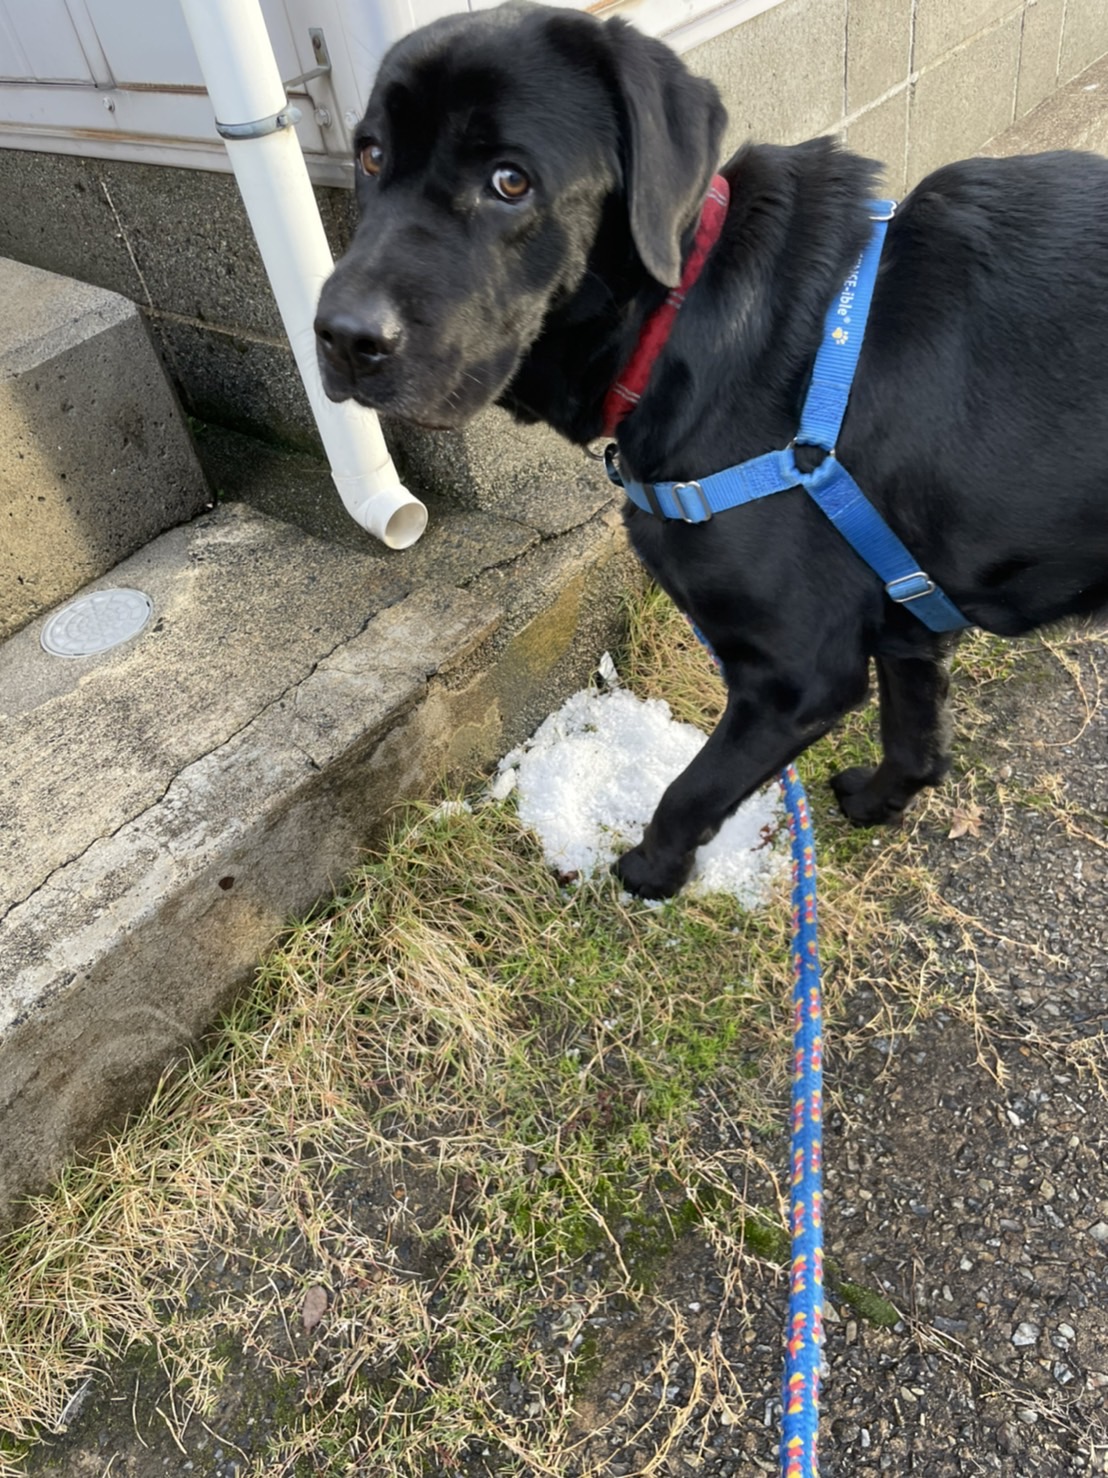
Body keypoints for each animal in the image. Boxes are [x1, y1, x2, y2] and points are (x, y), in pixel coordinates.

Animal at [316, 0, 1108, 898]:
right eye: (370, 154)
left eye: (510, 181)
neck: (683, 314)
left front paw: (648, 871)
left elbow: (688, 791)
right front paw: (875, 802)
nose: (339, 337)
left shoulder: (797, 674)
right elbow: (914, 744)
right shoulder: (907, 621)